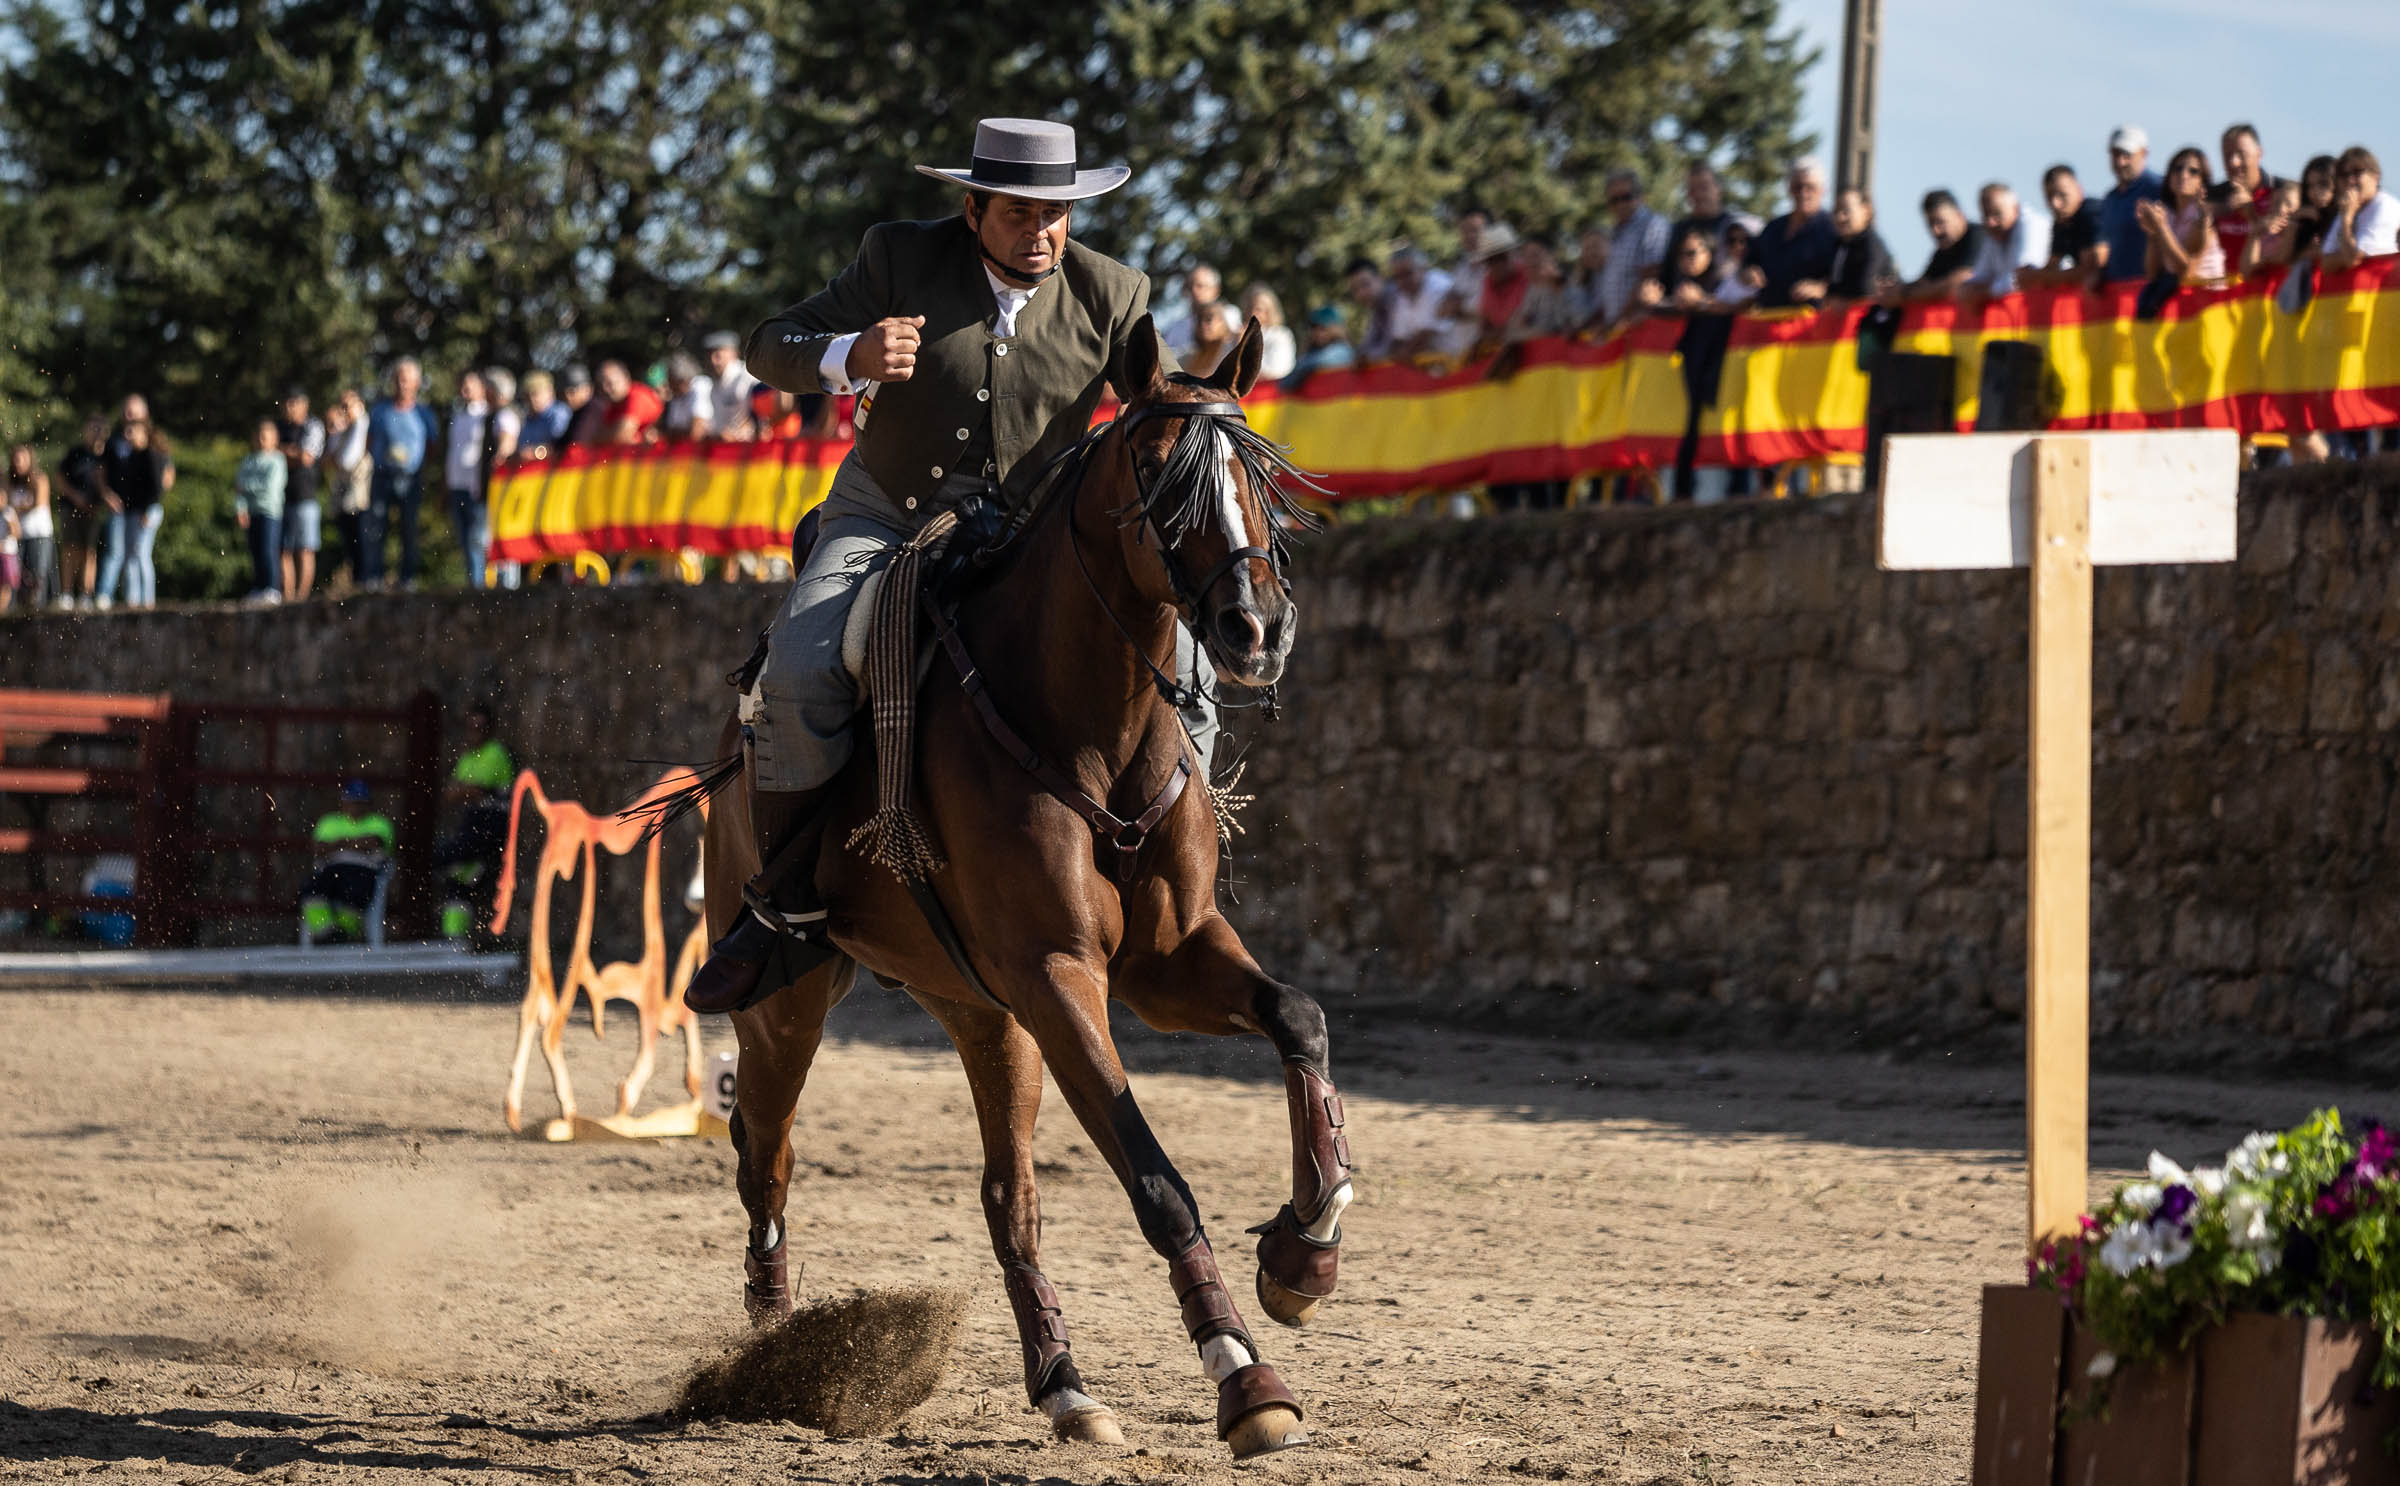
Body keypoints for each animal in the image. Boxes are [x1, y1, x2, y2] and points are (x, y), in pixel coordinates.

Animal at [691, 316, 1353, 1469]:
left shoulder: (1166, 960)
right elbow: (1158, 1182)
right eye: (1157, 470)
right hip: (790, 1003)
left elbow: (1299, 1018)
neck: (1090, 728)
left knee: (1012, 1198)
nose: (1256, 627)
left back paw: (1064, 1386)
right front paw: (1244, 1373)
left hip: (981, 1013)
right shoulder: (1059, 976)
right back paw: (773, 1348)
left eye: (1261, 477)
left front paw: (1305, 1249)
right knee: (764, 1156)